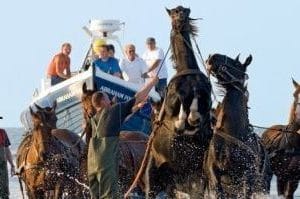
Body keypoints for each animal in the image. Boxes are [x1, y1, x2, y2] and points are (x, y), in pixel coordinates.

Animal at [127, 5, 212, 197]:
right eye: (174, 12)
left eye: (185, 11)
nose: (180, 17)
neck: (188, 74)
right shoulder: (173, 100)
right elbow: (178, 111)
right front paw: (185, 121)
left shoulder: (204, 97)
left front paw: (193, 120)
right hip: (154, 174)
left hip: (193, 177)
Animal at [204, 53, 272, 198]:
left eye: (236, 64)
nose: (213, 57)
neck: (232, 131)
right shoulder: (214, 172)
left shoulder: (247, 176)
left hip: (261, 186)